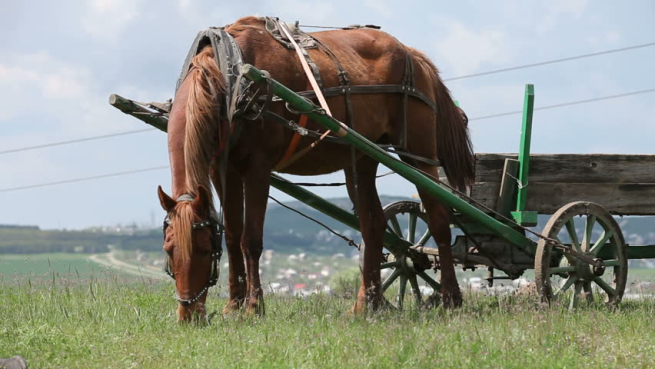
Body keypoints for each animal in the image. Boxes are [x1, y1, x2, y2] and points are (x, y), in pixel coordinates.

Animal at [159, 15, 476, 320]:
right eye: (168, 250)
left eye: (204, 249)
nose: (189, 314)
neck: (229, 76)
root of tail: (412, 54)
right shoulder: (222, 170)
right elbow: (234, 236)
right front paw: (233, 306)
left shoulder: (258, 168)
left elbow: (251, 240)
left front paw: (253, 307)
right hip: (362, 157)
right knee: (373, 224)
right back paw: (367, 304)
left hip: (418, 155)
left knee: (438, 219)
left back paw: (450, 297)